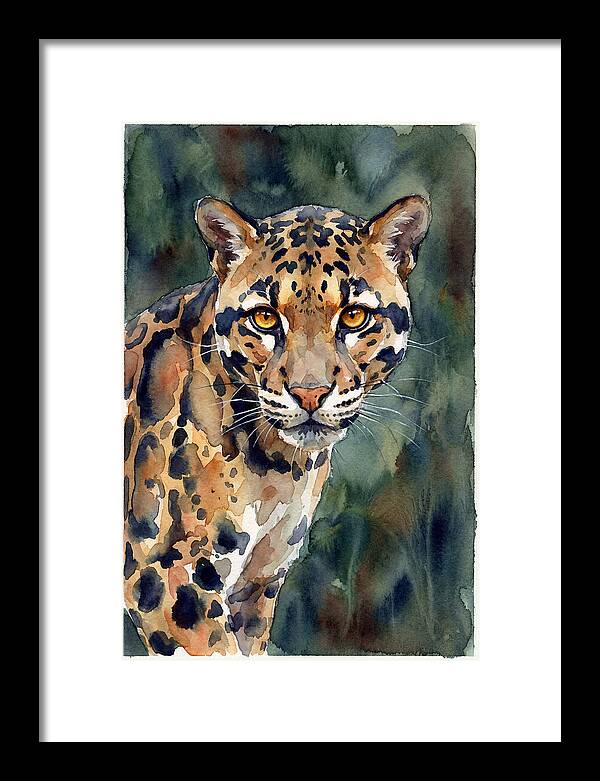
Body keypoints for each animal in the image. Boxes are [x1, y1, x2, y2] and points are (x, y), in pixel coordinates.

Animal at [124, 194, 431, 656]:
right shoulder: (166, 574)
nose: (310, 393)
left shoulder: (256, 585)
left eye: (355, 317)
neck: (277, 467)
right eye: (265, 318)